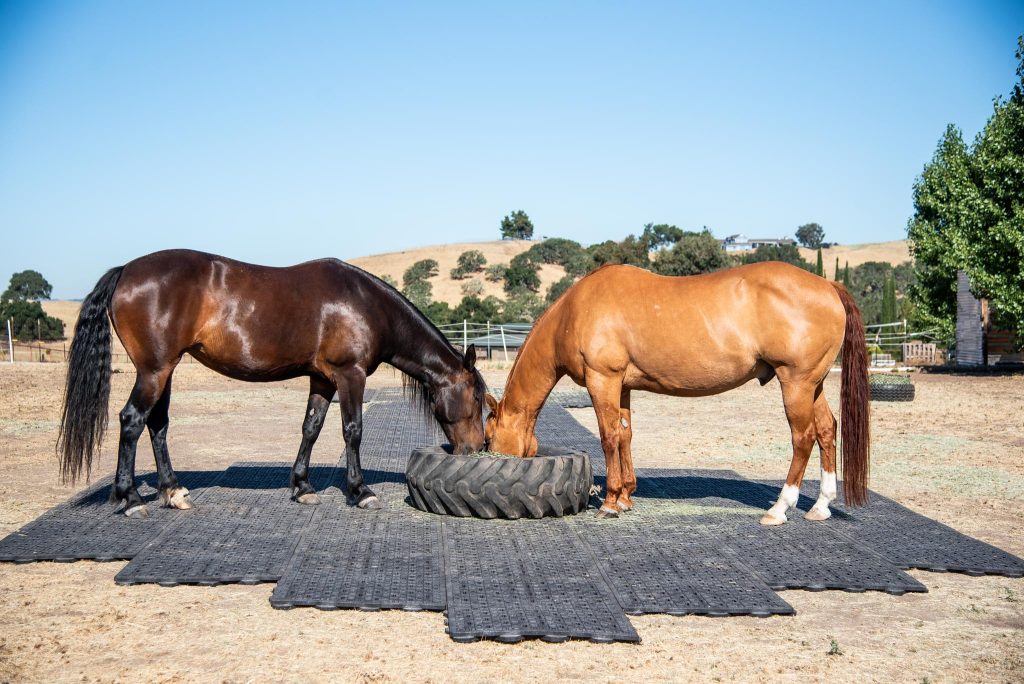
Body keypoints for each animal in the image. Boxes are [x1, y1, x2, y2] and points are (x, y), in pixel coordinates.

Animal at [58, 249, 487, 517]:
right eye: (477, 398)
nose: (476, 448)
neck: (365, 305)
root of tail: (126, 270)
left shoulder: (322, 379)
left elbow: (311, 428)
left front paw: (303, 487)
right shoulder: (349, 375)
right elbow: (353, 431)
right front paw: (360, 491)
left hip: (165, 372)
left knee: (157, 424)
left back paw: (173, 492)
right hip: (154, 371)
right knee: (132, 420)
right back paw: (131, 499)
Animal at [484, 261, 869, 524]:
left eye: (488, 438)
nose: (487, 451)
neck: (573, 312)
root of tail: (828, 285)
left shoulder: (603, 380)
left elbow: (608, 437)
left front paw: (609, 502)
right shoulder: (623, 386)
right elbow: (625, 436)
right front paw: (625, 497)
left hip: (795, 384)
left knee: (803, 437)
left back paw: (779, 508)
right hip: (814, 385)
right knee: (826, 430)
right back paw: (820, 506)